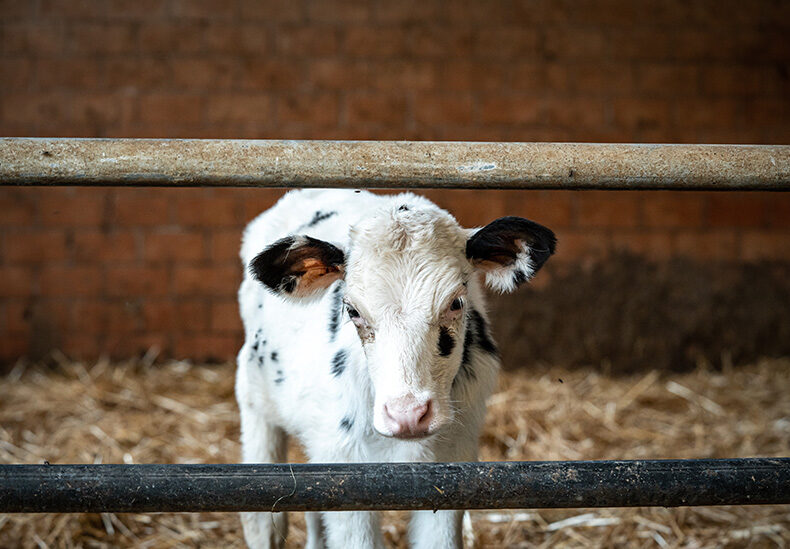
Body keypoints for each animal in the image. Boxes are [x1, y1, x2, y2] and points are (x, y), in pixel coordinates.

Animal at [235, 189, 556, 548]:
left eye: (456, 302)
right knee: (265, 521)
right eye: (352, 310)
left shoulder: (453, 463)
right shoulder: (341, 466)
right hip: (255, 405)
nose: (408, 414)